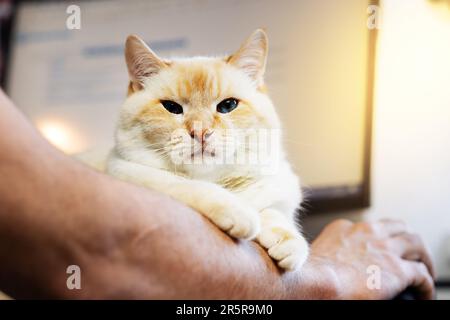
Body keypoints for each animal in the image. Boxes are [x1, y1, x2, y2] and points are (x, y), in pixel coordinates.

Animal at [106, 29, 310, 270]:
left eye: (228, 105)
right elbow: (192, 186)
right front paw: (241, 213)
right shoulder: (130, 173)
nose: (200, 132)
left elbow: (273, 213)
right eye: (172, 107)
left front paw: (288, 241)